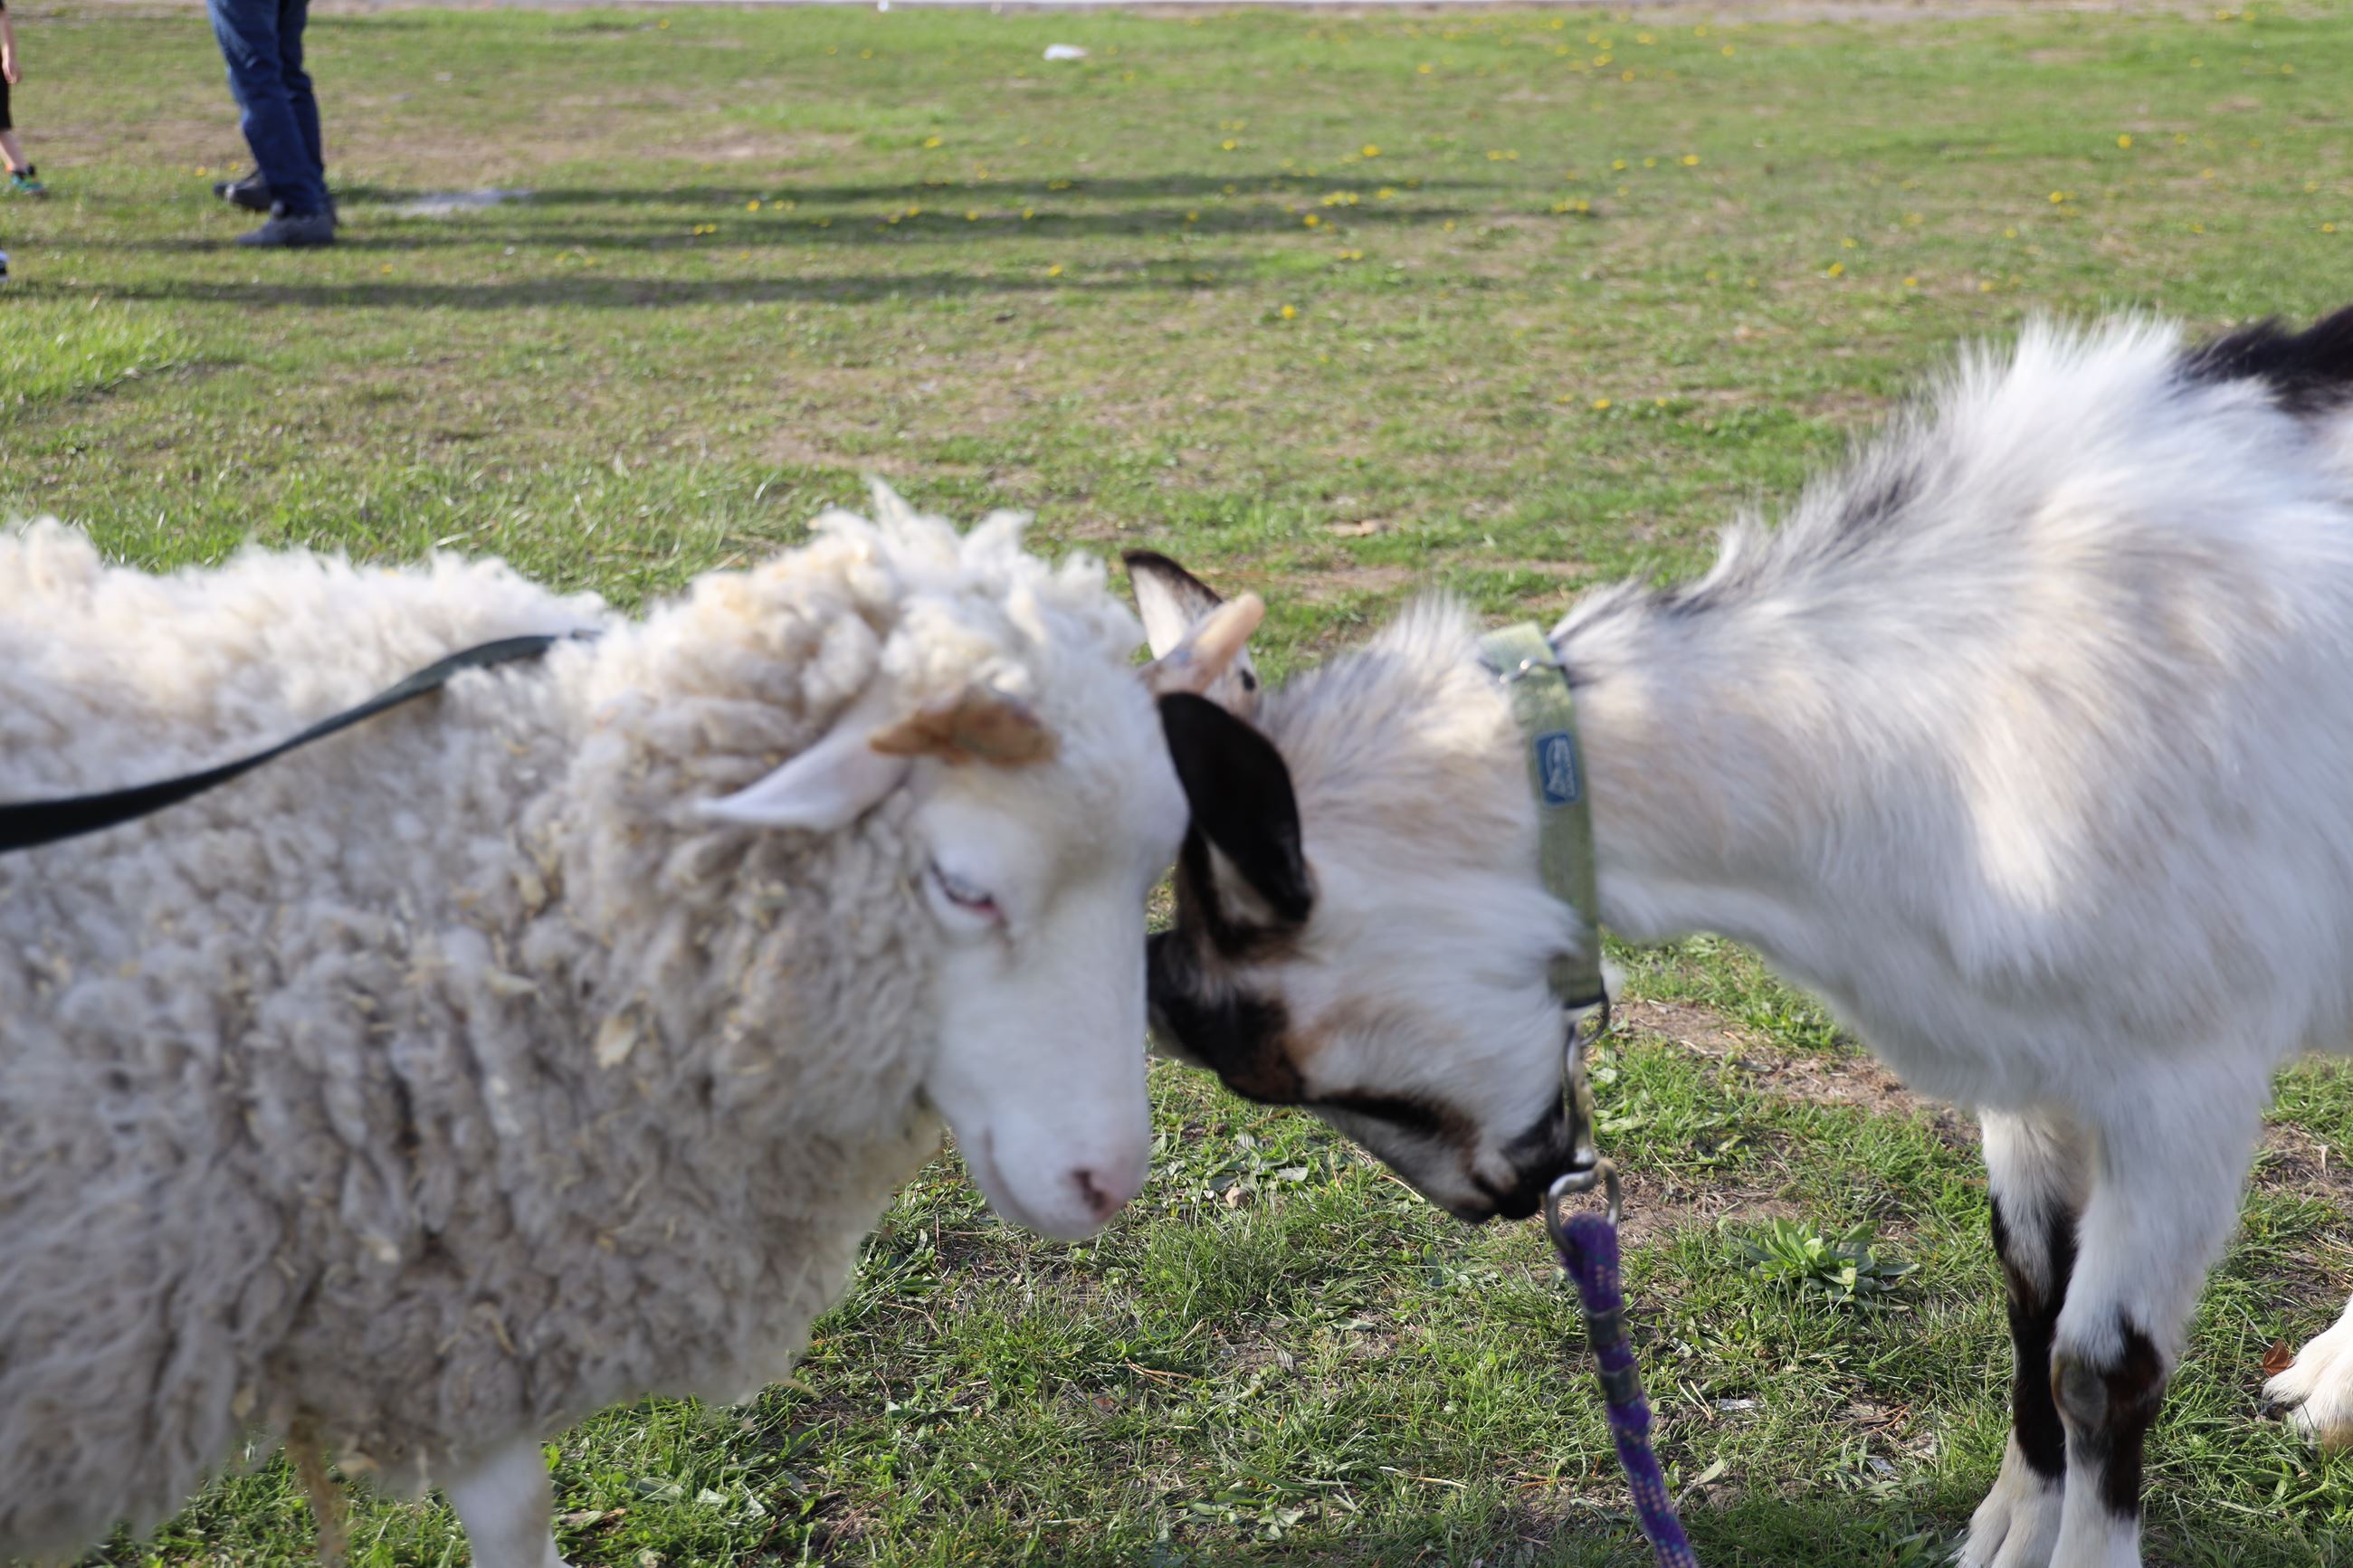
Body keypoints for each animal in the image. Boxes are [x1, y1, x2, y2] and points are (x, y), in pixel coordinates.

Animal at [1126, 307, 2353, 1568]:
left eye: (1287, 1060)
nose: (1495, 1198)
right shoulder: (2026, 1057)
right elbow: (2027, 1294)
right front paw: (2008, 1530)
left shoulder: (2185, 1072)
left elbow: (2100, 1363)